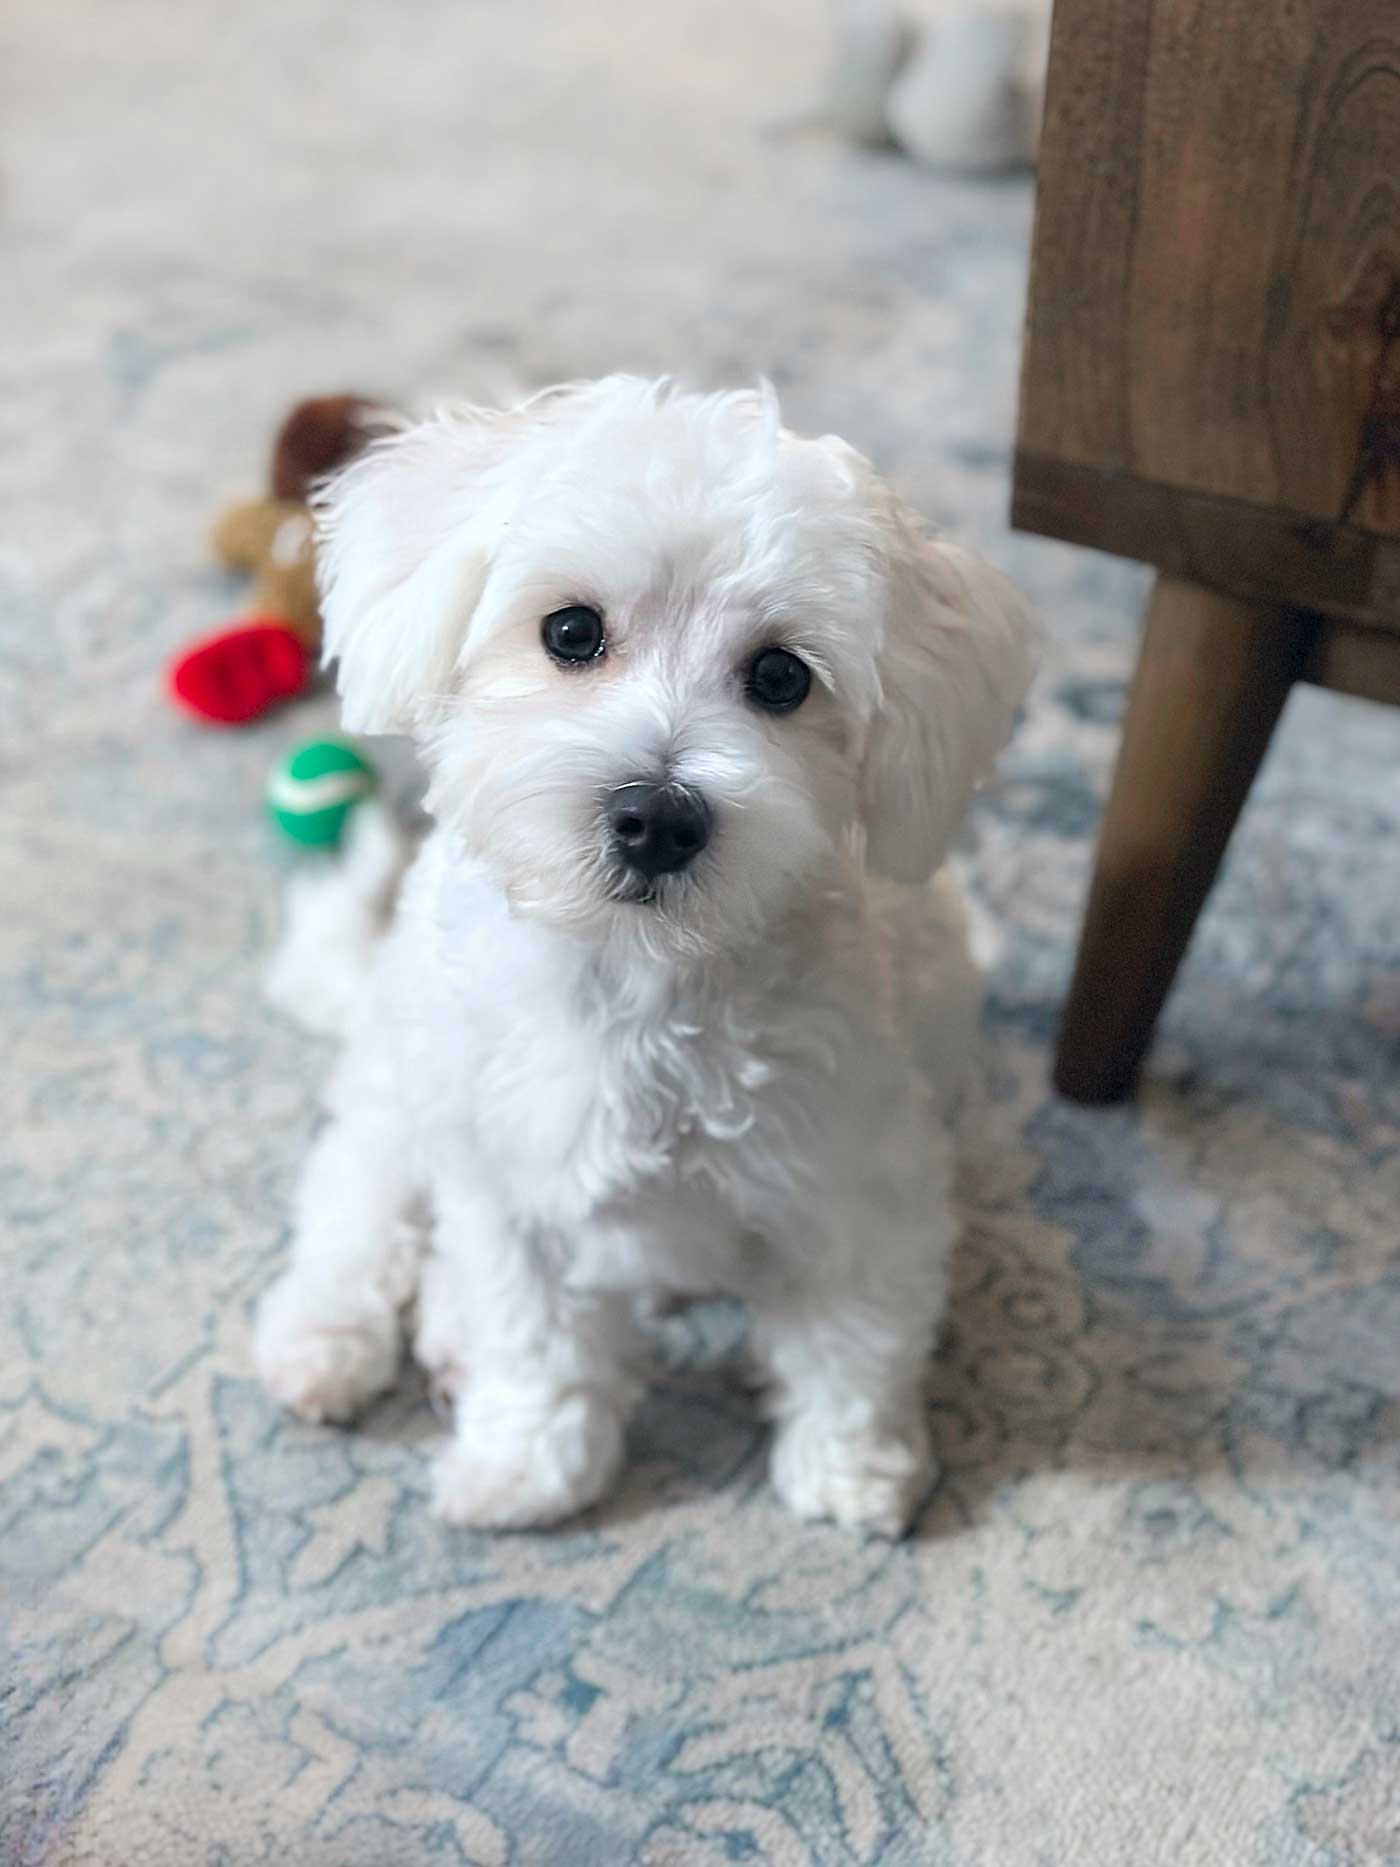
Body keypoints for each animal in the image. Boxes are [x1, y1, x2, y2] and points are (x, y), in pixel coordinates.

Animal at [255, 375, 1045, 1530]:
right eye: (571, 630)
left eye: (780, 676)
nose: (656, 819)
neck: (638, 980)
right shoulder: (506, 1183)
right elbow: (534, 1337)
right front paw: (531, 1466)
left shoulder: (862, 1184)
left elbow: (854, 1341)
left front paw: (851, 1466)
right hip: (406, 1086)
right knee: (356, 1199)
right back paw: (326, 1338)